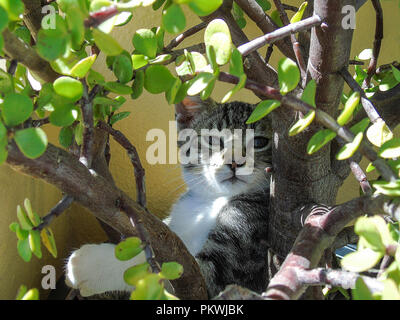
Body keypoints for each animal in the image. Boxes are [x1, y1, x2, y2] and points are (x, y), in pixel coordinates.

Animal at [65, 96, 272, 298]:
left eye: (259, 142)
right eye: (212, 139)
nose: (235, 161)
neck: (212, 199)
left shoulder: (234, 267)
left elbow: (172, 270)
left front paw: (92, 264)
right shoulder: (174, 233)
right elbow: (165, 243)